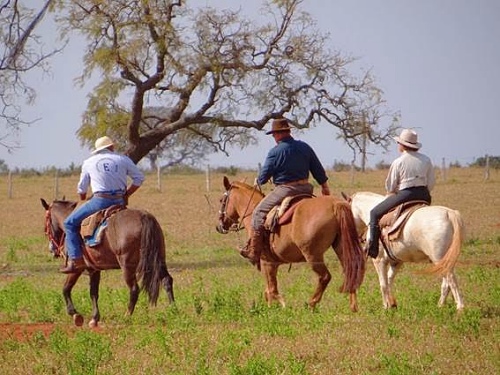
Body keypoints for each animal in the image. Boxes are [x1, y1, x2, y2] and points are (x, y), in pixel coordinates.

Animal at [40, 198, 174, 328]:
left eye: (46, 226)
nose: (52, 249)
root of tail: (144, 216)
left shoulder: (76, 268)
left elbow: (66, 289)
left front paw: (75, 315)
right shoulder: (94, 269)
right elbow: (93, 293)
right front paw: (94, 319)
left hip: (127, 266)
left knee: (134, 289)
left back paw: (126, 316)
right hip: (158, 260)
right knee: (167, 280)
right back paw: (173, 310)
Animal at [214, 178, 364, 312]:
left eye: (222, 200)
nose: (219, 226)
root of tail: (335, 205)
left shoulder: (267, 262)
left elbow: (271, 290)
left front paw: (278, 306)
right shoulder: (273, 263)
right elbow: (268, 291)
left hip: (312, 255)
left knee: (325, 277)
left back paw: (311, 303)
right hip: (341, 247)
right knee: (350, 271)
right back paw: (353, 306)